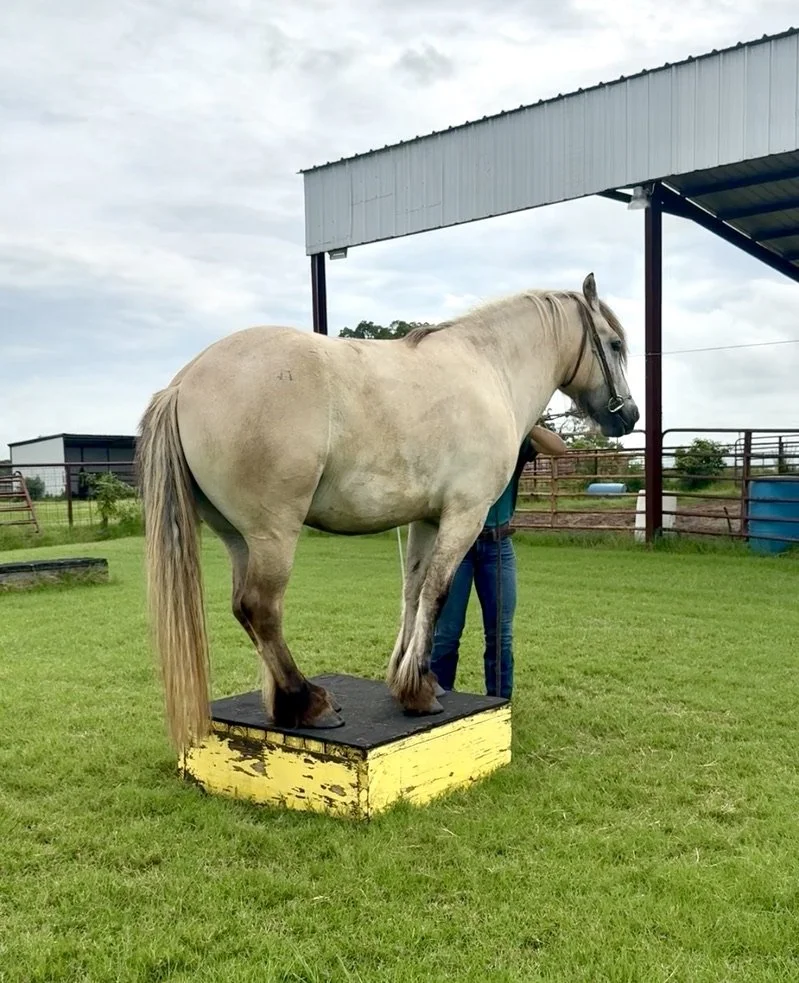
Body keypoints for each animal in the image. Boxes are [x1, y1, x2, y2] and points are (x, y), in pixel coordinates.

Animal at [136, 273, 639, 751]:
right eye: (614, 344)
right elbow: (437, 593)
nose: (630, 415)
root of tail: (183, 383)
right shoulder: (465, 515)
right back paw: (309, 702)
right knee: (261, 609)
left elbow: (412, 592)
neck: (488, 367)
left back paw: (284, 705)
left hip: (237, 538)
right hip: (272, 535)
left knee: (245, 611)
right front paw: (418, 691)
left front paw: (407, 681)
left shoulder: (428, 519)